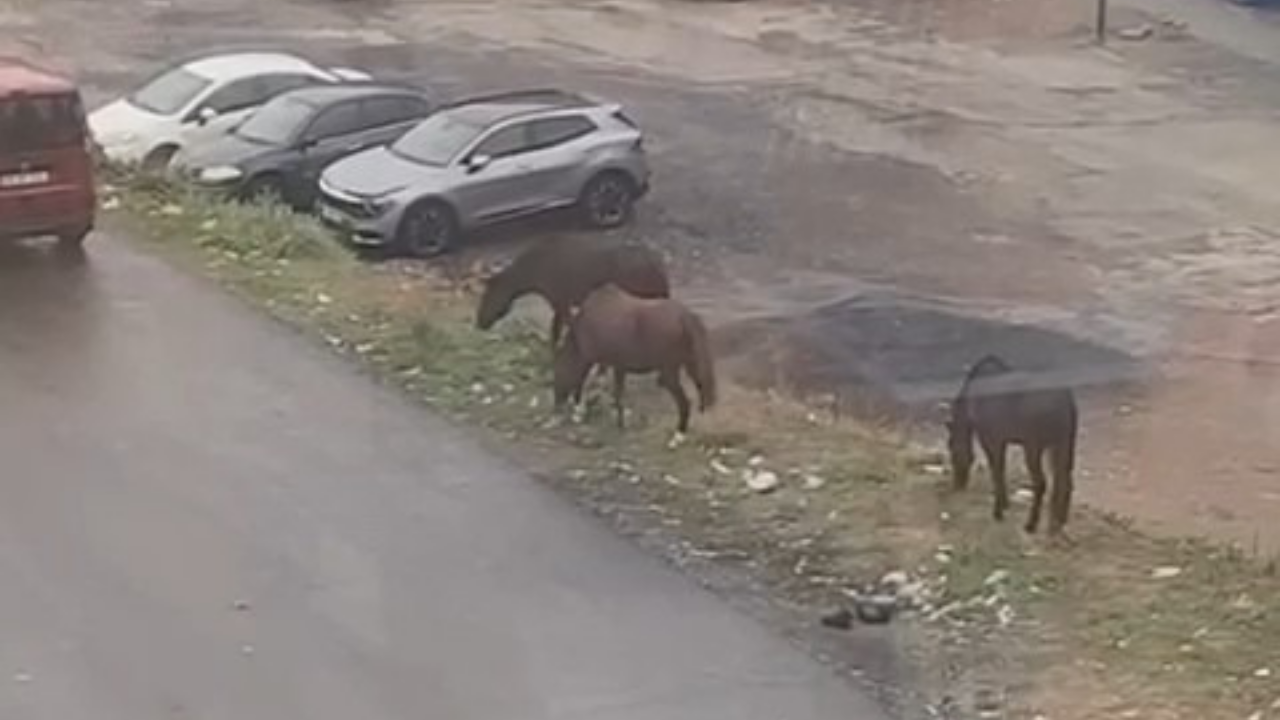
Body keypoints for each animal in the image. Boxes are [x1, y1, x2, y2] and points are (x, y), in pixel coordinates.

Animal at [473, 235, 670, 345]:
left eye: (487, 295)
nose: (479, 323)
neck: (531, 277)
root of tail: (659, 265)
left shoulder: (561, 302)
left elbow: (566, 331)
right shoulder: (560, 303)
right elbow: (555, 332)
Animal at [552, 284, 721, 430]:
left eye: (558, 374)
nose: (556, 404)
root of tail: (685, 317)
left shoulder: (600, 361)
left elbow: (606, 390)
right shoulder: (618, 366)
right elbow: (617, 393)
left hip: (669, 373)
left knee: (685, 403)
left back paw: (677, 437)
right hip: (691, 365)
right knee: (702, 388)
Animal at [947, 353, 1075, 532]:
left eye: (951, 446)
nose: (957, 485)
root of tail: (1067, 401)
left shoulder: (991, 439)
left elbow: (996, 471)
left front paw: (998, 511)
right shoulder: (1002, 440)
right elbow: (1000, 470)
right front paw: (1004, 505)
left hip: (1034, 446)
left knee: (1041, 483)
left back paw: (1031, 524)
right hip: (1062, 443)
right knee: (1065, 481)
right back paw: (1057, 524)